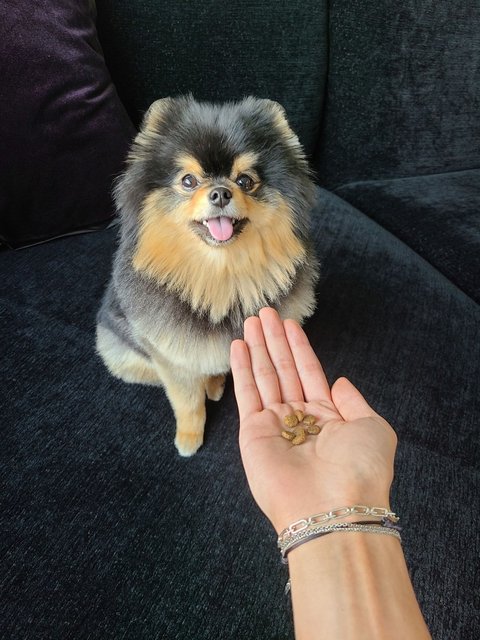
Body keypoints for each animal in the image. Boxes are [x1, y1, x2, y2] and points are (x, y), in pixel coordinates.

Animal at [96, 96, 319, 456]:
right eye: (189, 180)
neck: (219, 274)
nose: (220, 193)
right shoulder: (171, 358)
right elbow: (187, 402)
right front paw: (189, 438)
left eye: (245, 181)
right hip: (120, 353)